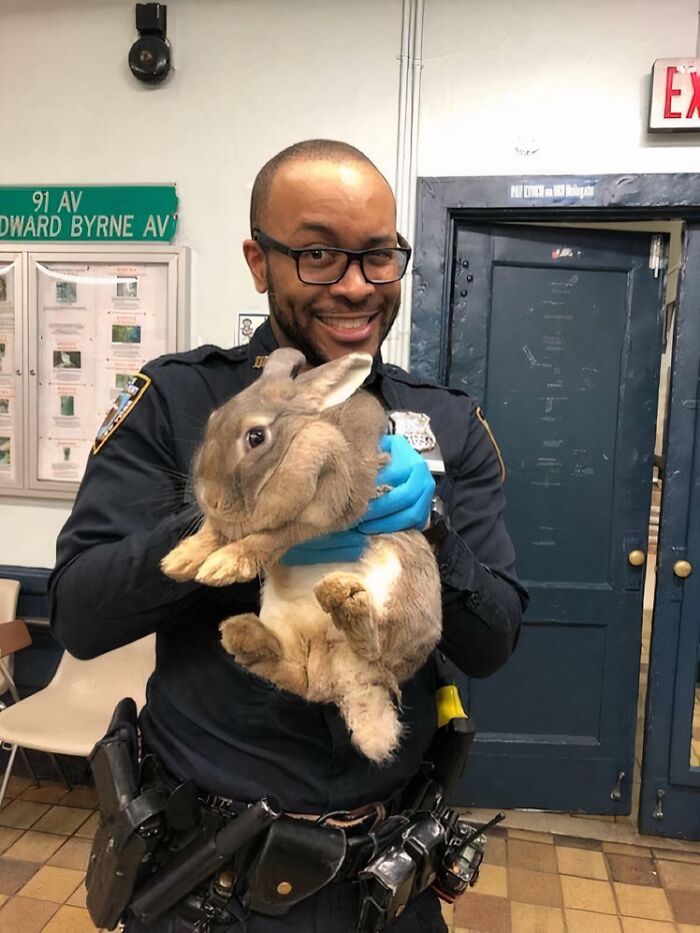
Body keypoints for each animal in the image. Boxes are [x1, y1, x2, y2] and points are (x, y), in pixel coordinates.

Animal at [161, 347, 442, 764]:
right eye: (213, 420)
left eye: (256, 437)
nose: (210, 498)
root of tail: (350, 682)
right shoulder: (229, 523)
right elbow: (213, 531)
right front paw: (181, 560)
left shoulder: (322, 515)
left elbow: (271, 538)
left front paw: (226, 565)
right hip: (286, 626)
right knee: (297, 676)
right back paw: (244, 636)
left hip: (409, 602)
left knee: (378, 648)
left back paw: (345, 601)